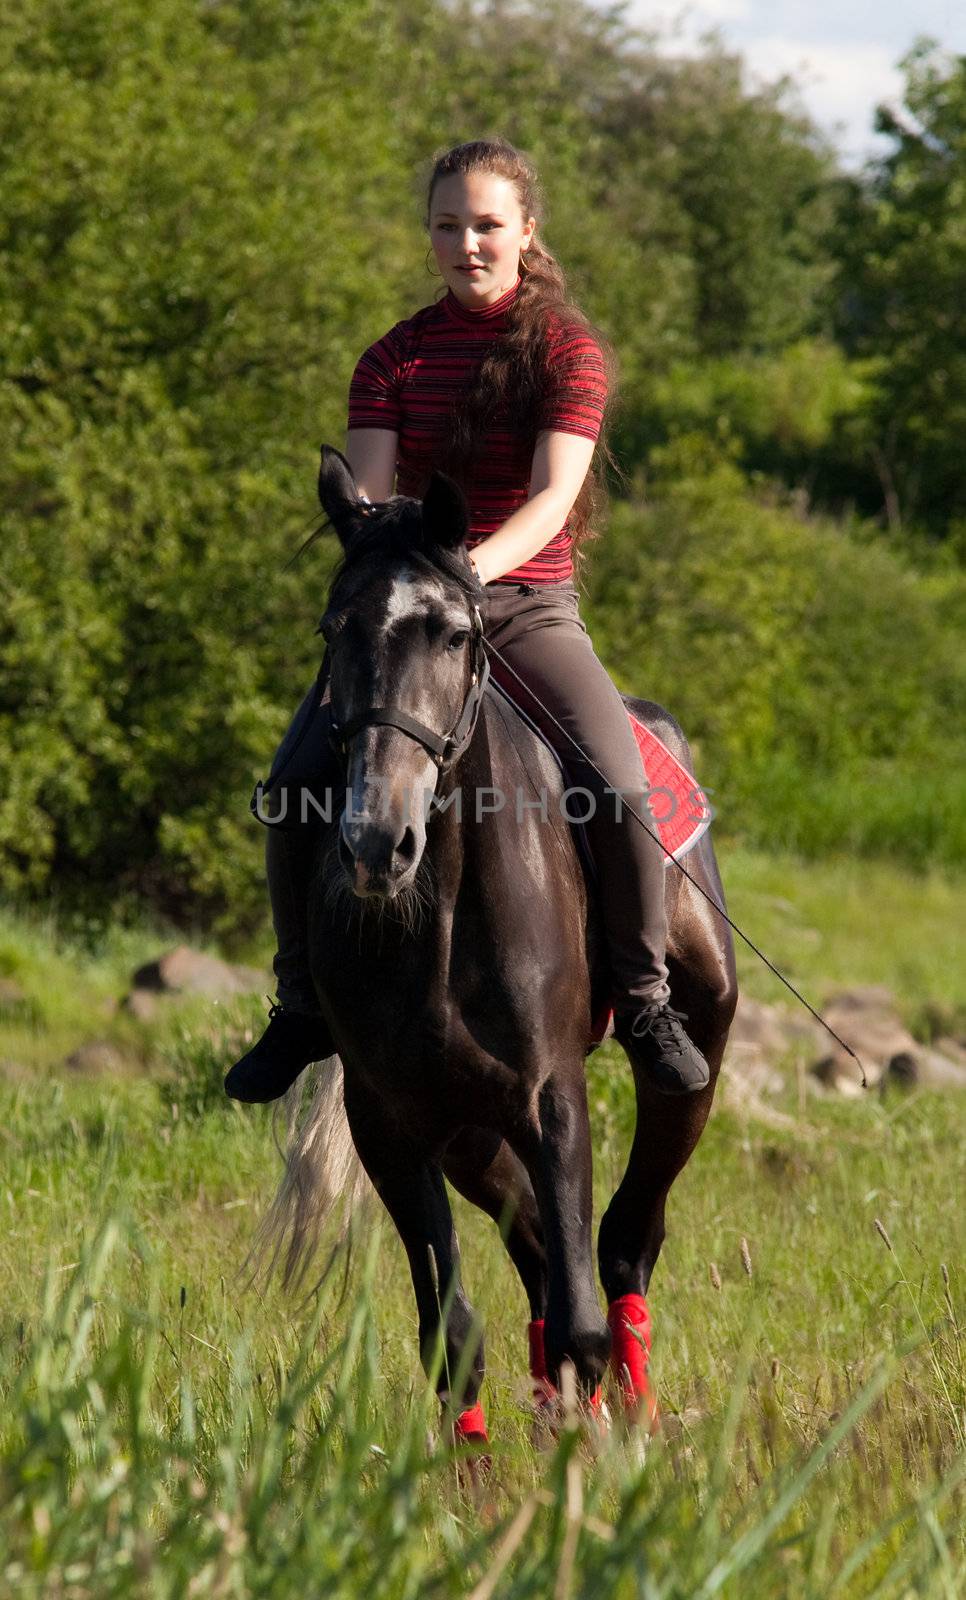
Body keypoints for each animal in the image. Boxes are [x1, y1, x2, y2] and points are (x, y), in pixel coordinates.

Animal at [252, 448, 735, 1440]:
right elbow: (453, 1333)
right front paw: (467, 1472)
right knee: (540, 1252)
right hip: (469, 1129)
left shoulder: (554, 1100)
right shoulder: (392, 1121)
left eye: (450, 636)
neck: (436, 920)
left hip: (696, 1050)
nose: (376, 842)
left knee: (624, 1245)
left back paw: (633, 1416)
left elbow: (583, 1319)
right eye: (334, 628)